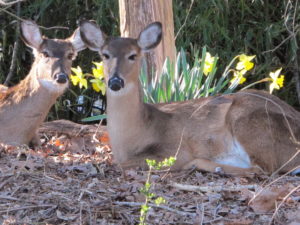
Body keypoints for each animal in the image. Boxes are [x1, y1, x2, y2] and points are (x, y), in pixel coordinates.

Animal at [79, 20, 300, 176]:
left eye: (133, 55)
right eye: (105, 54)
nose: (116, 81)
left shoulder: (173, 150)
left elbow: (123, 165)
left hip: (250, 122)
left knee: (263, 169)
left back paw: (202, 164)